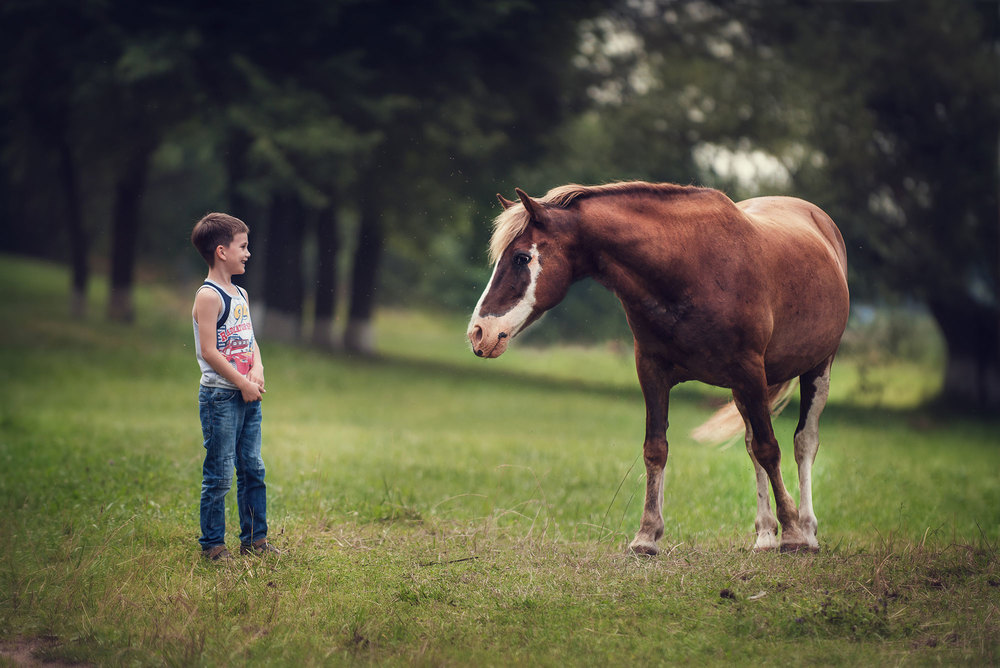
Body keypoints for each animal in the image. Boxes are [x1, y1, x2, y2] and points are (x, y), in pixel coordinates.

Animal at [464, 181, 848, 552]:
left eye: (521, 257)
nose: (479, 333)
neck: (689, 267)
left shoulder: (751, 370)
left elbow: (772, 448)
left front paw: (793, 533)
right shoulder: (653, 371)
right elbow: (657, 448)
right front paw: (647, 535)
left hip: (816, 368)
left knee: (803, 442)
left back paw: (806, 530)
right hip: (743, 391)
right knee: (752, 444)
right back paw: (766, 535)